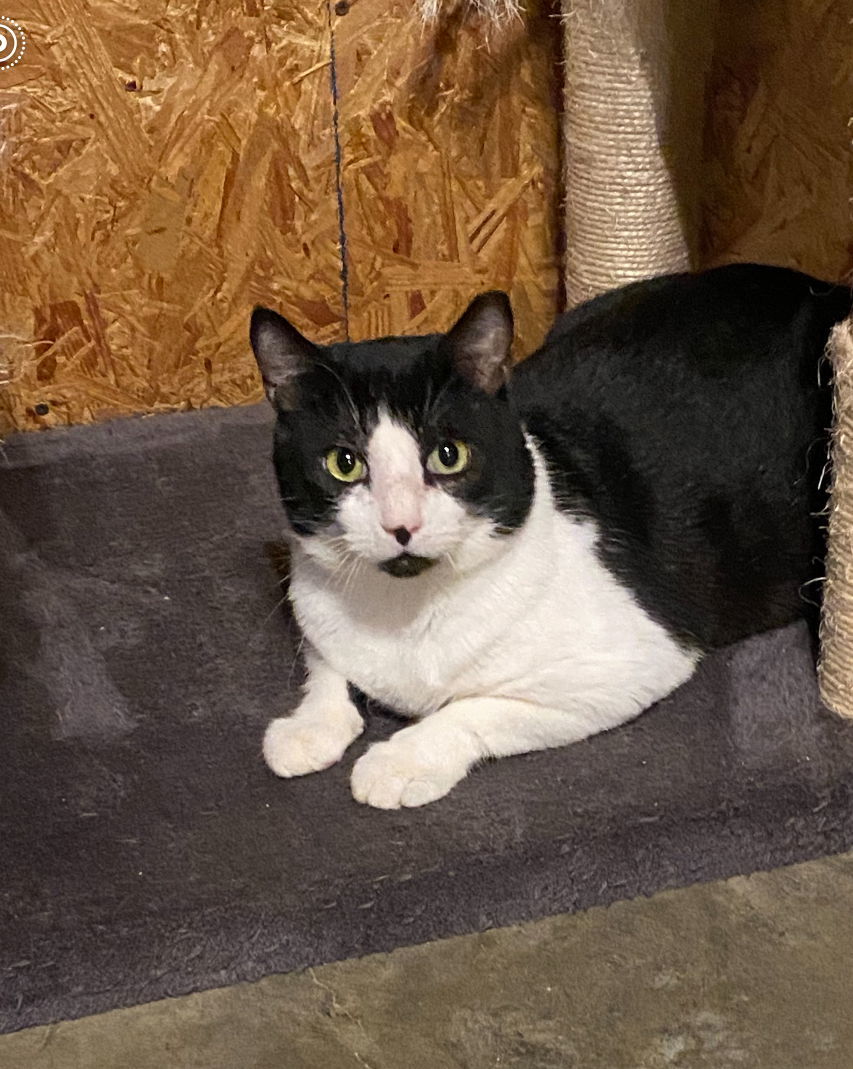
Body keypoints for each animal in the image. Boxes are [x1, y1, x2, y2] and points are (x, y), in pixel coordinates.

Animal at [246, 262, 846, 803]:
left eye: (448, 455)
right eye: (343, 463)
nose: (402, 524)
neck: (408, 611)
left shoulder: (632, 663)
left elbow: (472, 706)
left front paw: (400, 762)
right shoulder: (315, 603)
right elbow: (326, 664)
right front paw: (307, 727)